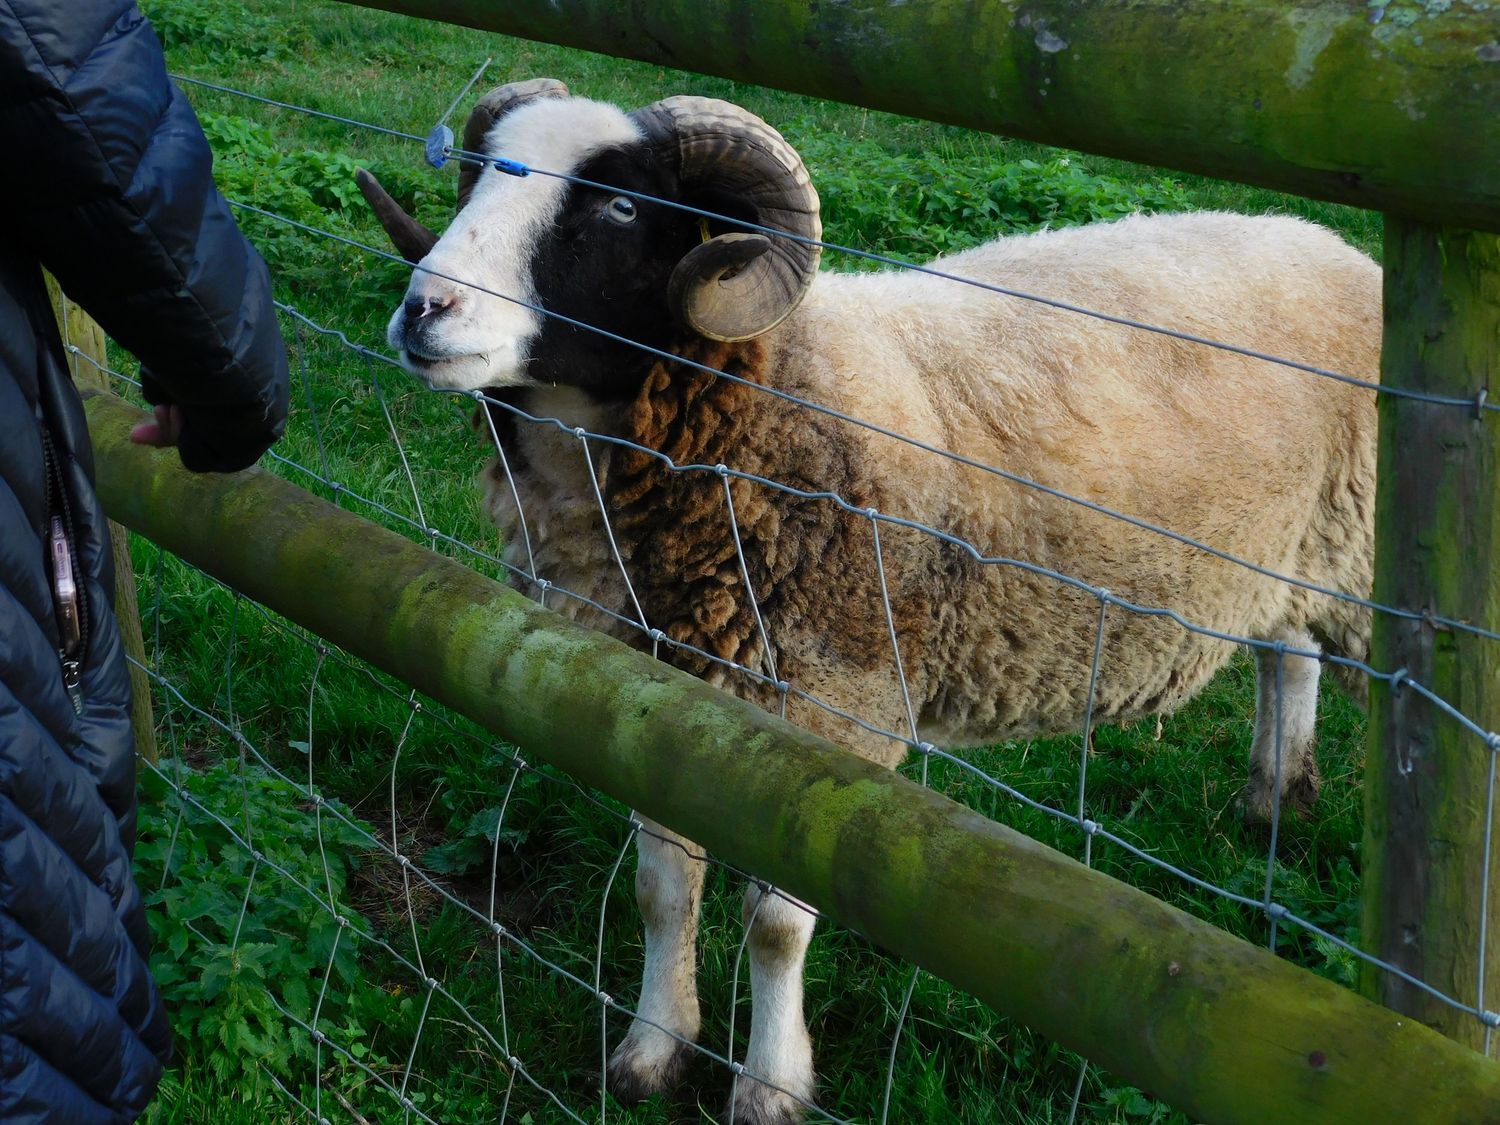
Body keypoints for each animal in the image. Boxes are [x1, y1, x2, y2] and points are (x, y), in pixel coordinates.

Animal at [358, 79, 1380, 1125]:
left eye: (622, 208)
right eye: (474, 174)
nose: (423, 310)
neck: (777, 401)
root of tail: (1328, 241)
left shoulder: (831, 715)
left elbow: (773, 925)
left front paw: (769, 1087)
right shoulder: (643, 694)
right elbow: (661, 886)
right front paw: (651, 1049)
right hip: (1288, 554)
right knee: (1289, 650)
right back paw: (1275, 796)